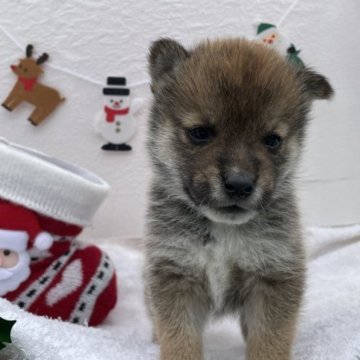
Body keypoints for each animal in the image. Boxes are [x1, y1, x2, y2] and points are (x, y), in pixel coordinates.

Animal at [143, 37, 332, 360]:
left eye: (272, 140)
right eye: (200, 133)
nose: (240, 184)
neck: (224, 231)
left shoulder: (274, 275)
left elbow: (270, 340)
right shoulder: (175, 274)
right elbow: (178, 339)